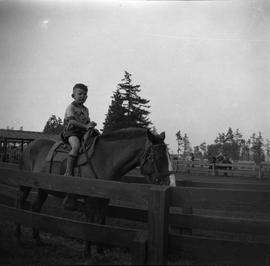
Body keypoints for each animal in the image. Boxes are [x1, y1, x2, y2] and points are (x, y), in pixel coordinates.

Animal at [17, 128, 176, 256]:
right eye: (160, 157)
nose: (172, 185)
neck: (105, 160)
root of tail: (29, 146)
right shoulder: (90, 199)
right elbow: (90, 223)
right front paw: (87, 252)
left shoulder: (104, 200)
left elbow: (100, 223)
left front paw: (100, 250)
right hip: (25, 186)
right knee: (20, 205)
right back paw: (18, 236)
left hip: (43, 189)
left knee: (35, 208)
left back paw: (37, 239)